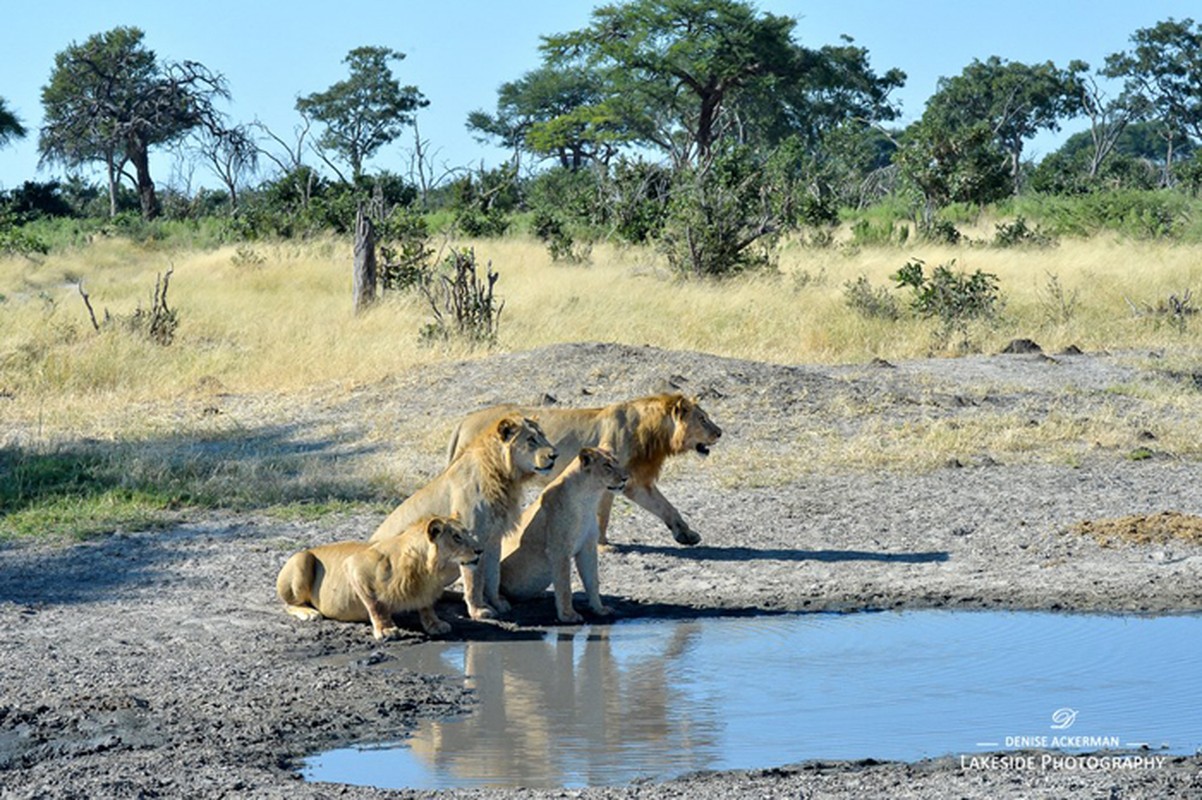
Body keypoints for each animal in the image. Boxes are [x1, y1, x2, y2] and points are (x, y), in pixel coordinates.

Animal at [276, 514, 483, 639]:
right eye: (457, 537)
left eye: (467, 534)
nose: (480, 550)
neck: (428, 573)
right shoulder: (354, 565)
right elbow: (376, 603)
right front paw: (386, 629)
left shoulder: (426, 591)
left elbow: (427, 605)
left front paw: (435, 623)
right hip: (302, 559)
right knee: (288, 604)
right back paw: (309, 613)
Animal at [367, 413, 555, 619]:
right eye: (531, 439)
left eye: (543, 435)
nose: (555, 455)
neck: (503, 476)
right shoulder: (473, 536)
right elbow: (474, 579)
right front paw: (479, 610)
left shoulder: (494, 538)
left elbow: (493, 575)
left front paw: (498, 603)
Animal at [444, 391, 716, 545]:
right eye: (703, 419)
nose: (720, 432)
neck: (652, 432)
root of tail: (463, 421)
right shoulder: (608, 479)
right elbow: (603, 514)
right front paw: (603, 545)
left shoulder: (636, 482)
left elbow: (666, 507)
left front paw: (687, 535)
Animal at [497, 444, 629, 619]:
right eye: (607, 465)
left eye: (617, 462)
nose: (626, 478)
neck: (588, 498)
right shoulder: (559, 550)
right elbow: (565, 584)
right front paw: (568, 616)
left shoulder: (588, 547)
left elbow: (593, 581)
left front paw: (599, 609)